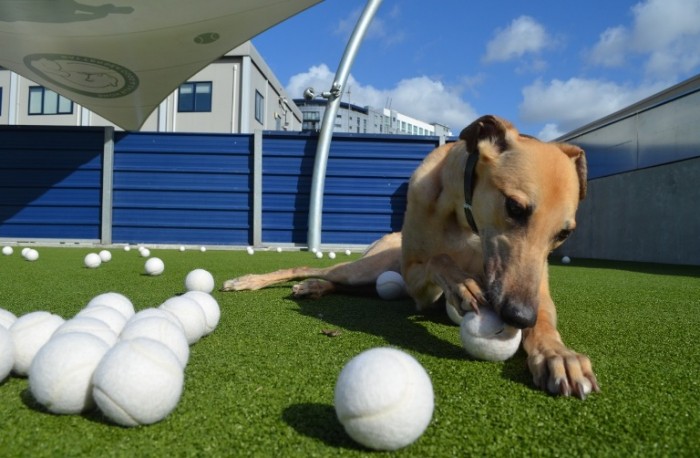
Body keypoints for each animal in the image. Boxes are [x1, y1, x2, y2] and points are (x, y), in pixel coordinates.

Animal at [224, 116, 600, 398]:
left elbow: (546, 321)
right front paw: (463, 284)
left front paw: (558, 355)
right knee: (309, 267)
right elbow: (439, 260)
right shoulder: (419, 281)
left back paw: (314, 288)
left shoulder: (535, 290)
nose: (519, 317)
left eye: (564, 234)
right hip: (369, 267)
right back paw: (255, 281)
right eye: (514, 207)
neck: (468, 223)